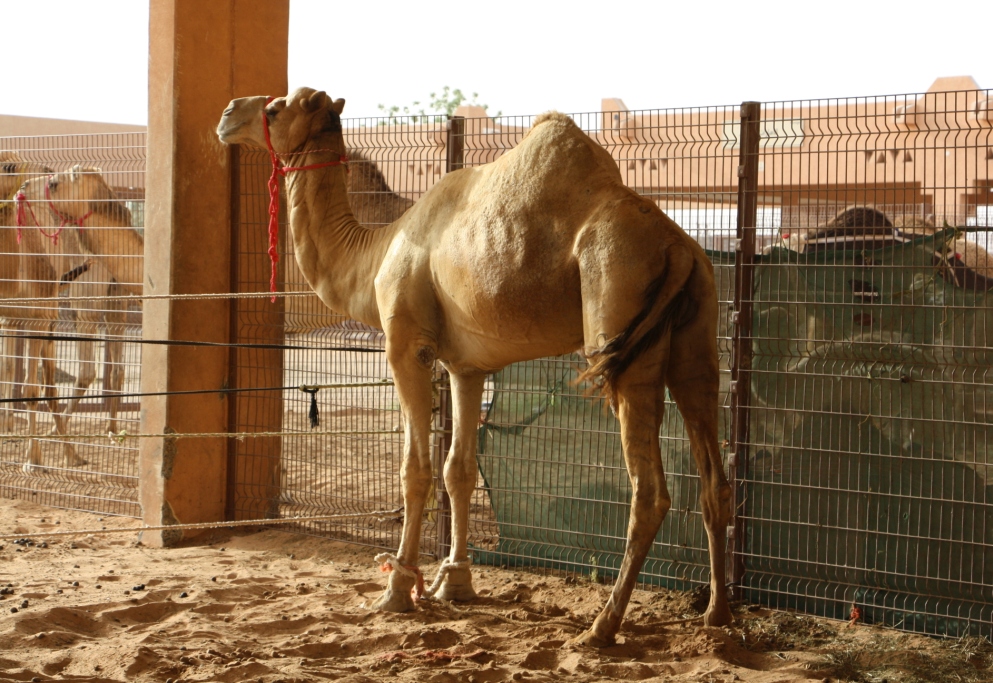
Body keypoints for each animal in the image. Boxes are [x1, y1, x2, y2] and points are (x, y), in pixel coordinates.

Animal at [5, 168, 143, 472]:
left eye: (55, 183)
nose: (24, 186)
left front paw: (31, 457)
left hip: (84, 297)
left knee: (86, 370)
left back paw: (60, 442)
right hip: (114, 299)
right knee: (114, 368)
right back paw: (109, 430)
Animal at [217, 87, 728, 648]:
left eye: (273, 109)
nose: (227, 114)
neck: (376, 252)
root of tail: (679, 247)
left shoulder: (406, 345)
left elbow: (416, 469)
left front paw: (397, 591)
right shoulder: (465, 365)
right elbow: (457, 469)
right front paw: (454, 584)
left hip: (617, 319)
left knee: (651, 491)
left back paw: (601, 627)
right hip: (696, 338)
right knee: (714, 476)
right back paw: (717, 615)